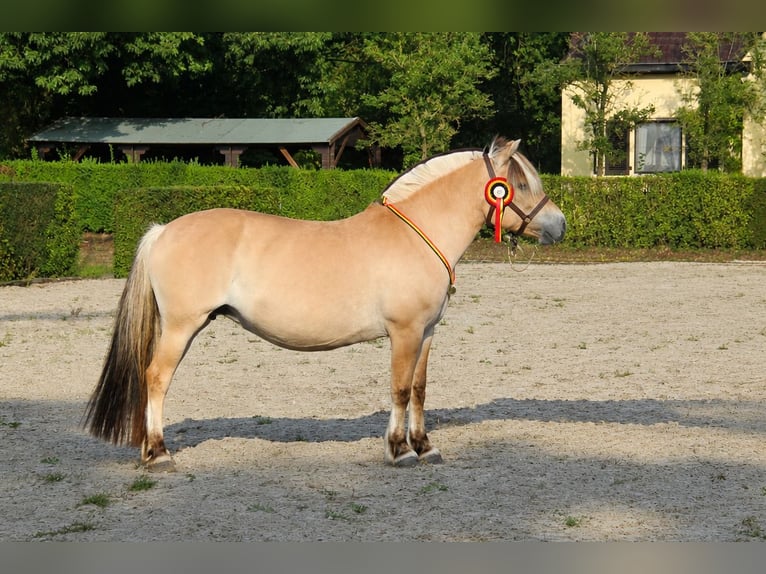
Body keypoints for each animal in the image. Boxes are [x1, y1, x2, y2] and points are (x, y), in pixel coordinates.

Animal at [84, 137, 566, 471]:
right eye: (517, 183)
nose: (559, 225)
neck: (415, 235)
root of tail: (163, 230)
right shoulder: (405, 332)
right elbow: (399, 388)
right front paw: (399, 451)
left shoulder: (427, 333)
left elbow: (420, 390)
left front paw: (425, 446)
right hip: (183, 326)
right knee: (156, 378)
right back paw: (159, 454)